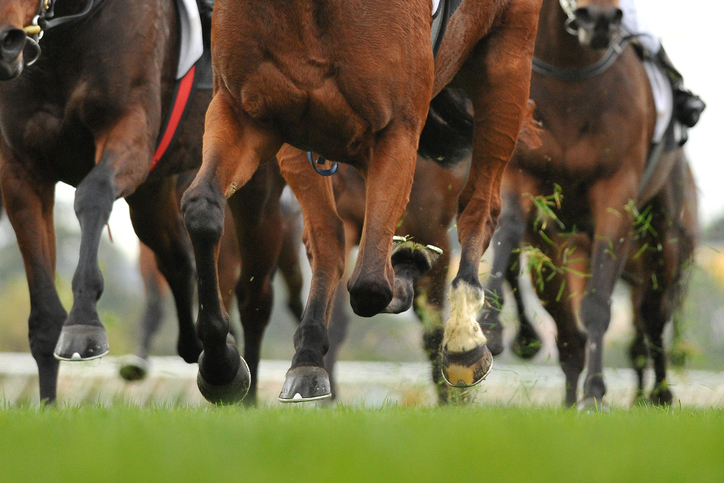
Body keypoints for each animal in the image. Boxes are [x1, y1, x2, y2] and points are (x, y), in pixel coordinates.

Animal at [0, 0, 218, 402]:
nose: (6, 41)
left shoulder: (130, 127)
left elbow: (94, 191)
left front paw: (84, 323)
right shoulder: (20, 169)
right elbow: (44, 319)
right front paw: (48, 405)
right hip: (152, 195)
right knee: (177, 260)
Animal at [181, 0, 544, 404]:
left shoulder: (397, 130)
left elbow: (371, 284)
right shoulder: (245, 114)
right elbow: (202, 210)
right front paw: (221, 367)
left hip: (507, 68)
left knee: (479, 207)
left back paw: (463, 340)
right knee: (330, 242)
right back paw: (310, 354)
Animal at [480, 0, 696, 408]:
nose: (597, 18)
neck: (570, 75)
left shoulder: (616, 189)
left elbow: (598, 306)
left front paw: (595, 393)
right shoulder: (522, 171)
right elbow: (509, 230)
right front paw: (489, 323)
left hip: (663, 238)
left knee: (653, 314)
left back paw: (659, 393)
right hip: (560, 251)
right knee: (568, 332)